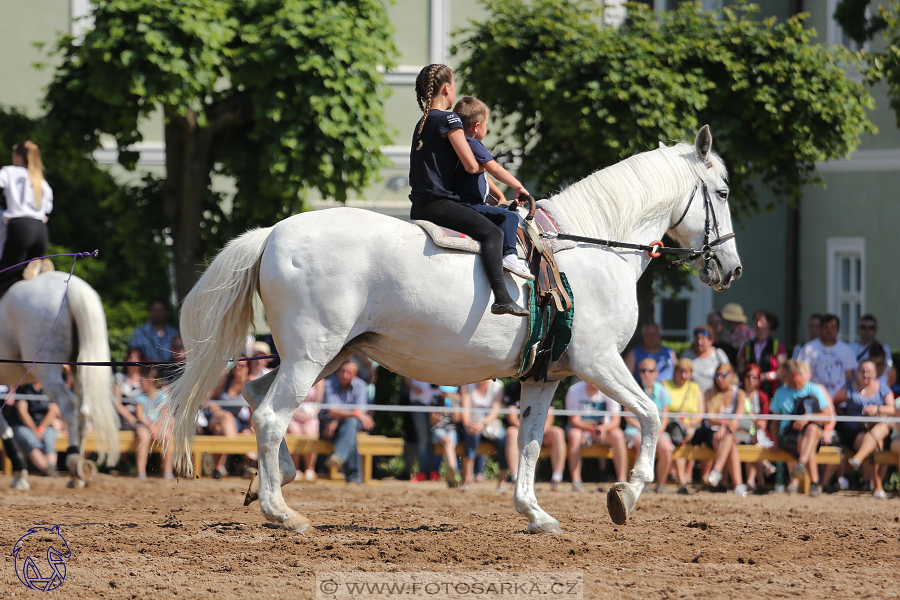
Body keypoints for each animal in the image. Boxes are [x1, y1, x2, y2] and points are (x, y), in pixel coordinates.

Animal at [0, 272, 119, 488]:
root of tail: (69, 284)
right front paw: (20, 473)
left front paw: (20, 474)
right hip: (78, 367)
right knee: (83, 411)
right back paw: (77, 473)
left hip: (46, 369)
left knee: (68, 404)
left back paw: (73, 461)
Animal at [160, 125, 740, 528]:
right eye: (724, 192)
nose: (730, 269)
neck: (592, 248)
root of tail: (274, 234)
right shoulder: (599, 361)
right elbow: (651, 416)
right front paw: (626, 495)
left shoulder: (545, 376)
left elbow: (530, 442)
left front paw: (535, 514)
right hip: (311, 355)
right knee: (270, 417)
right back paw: (282, 513)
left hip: (329, 355)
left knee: (256, 396)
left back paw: (273, 483)